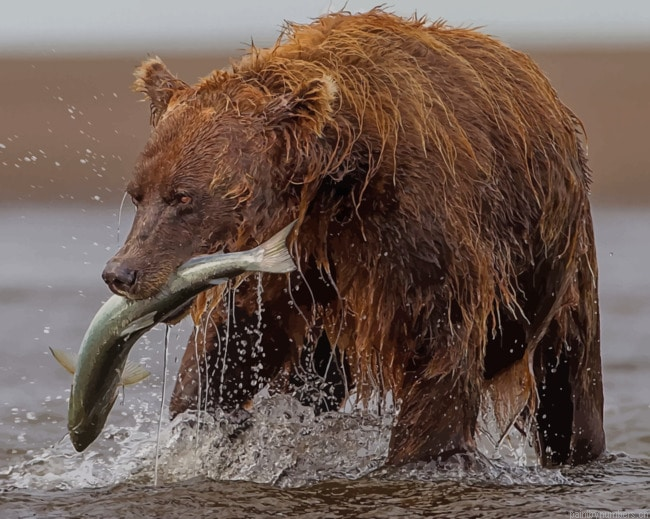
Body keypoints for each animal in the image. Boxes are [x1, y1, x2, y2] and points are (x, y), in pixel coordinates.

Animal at [102, 9, 605, 466]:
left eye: (183, 197)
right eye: (137, 193)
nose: (122, 272)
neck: (336, 177)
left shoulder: (419, 234)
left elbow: (440, 353)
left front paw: (425, 454)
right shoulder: (293, 257)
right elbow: (233, 342)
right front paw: (201, 422)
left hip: (562, 270)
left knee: (569, 389)